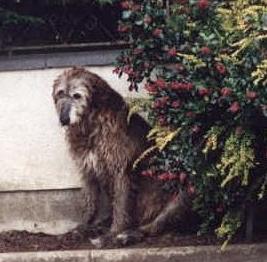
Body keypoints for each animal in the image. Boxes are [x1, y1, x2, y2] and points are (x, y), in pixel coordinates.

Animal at [51, 67, 191, 248]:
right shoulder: (87, 169)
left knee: (151, 228)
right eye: (60, 93)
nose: (64, 119)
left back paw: (123, 235)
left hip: (181, 193)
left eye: (77, 95)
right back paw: (97, 228)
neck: (91, 125)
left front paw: (114, 233)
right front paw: (81, 227)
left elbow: (121, 206)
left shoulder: (122, 171)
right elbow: (90, 202)